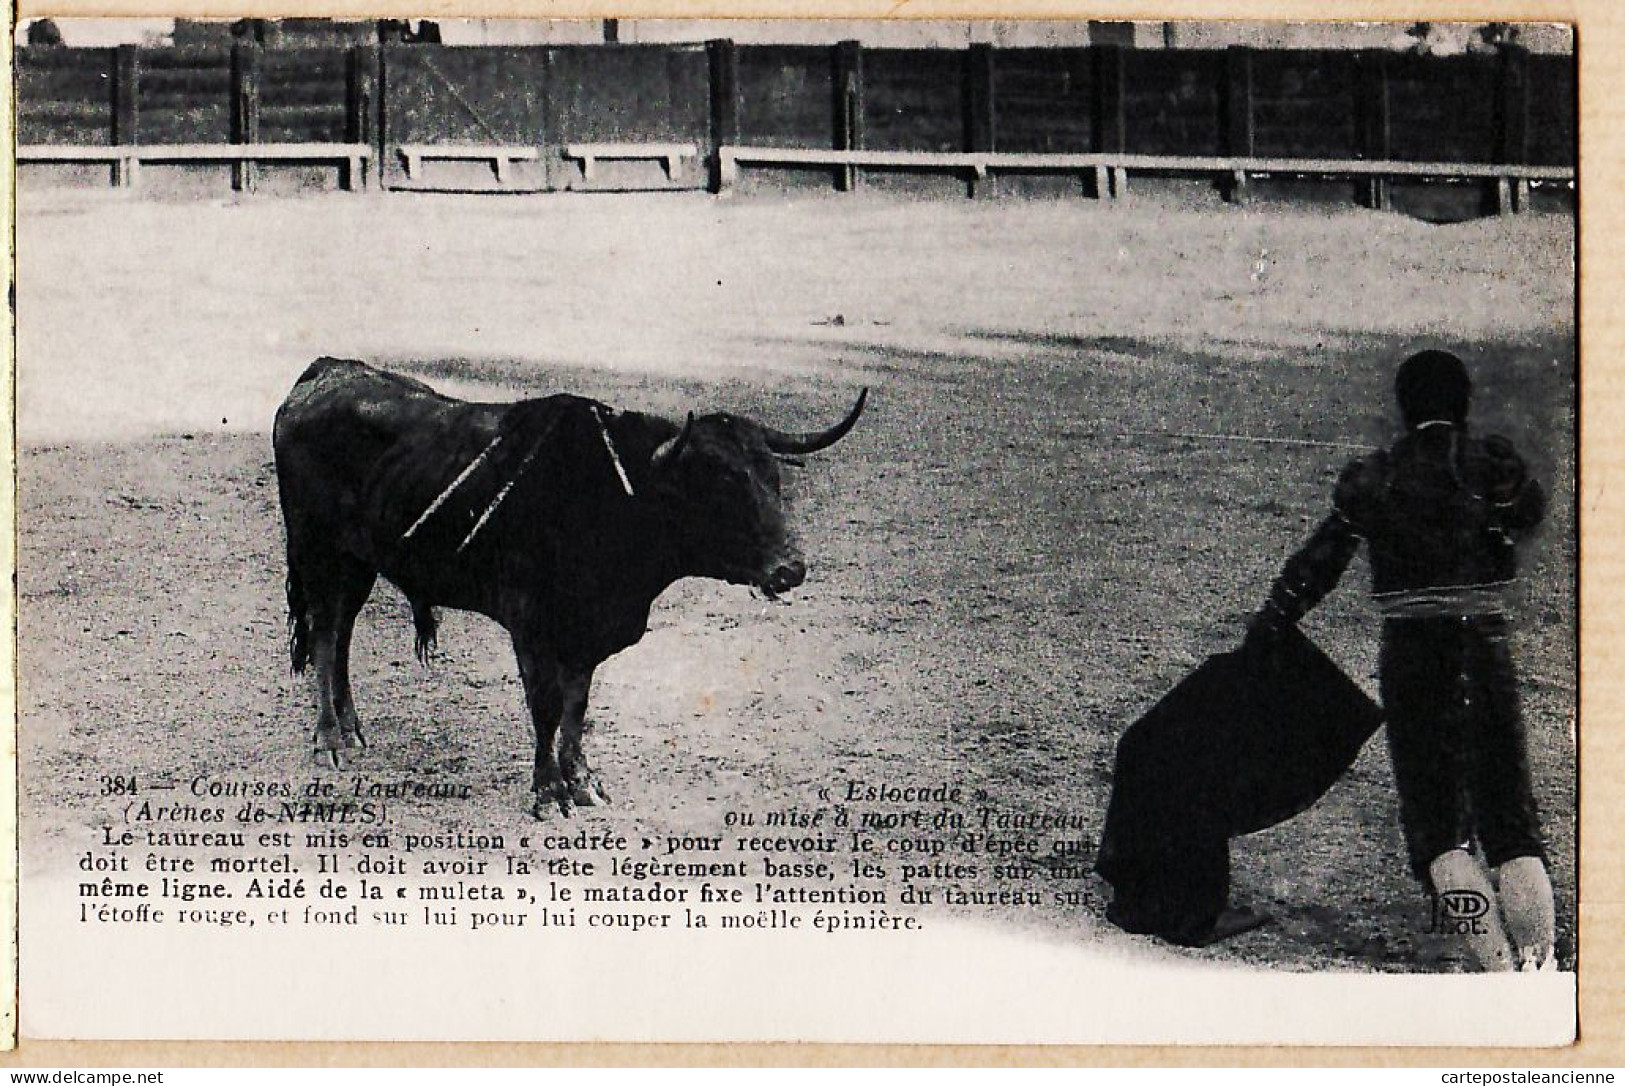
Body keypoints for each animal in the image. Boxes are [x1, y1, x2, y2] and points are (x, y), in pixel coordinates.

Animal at [273, 360, 871, 819]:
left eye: (773, 480)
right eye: (717, 486)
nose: (789, 569)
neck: (611, 498)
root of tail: (324, 371)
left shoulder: (586, 633)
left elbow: (576, 707)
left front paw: (582, 781)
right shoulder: (532, 626)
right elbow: (545, 705)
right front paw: (547, 791)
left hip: (359, 562)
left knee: (342, 633)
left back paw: (352, 729)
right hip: (316, 551)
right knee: (324, 635)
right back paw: (328, 740)